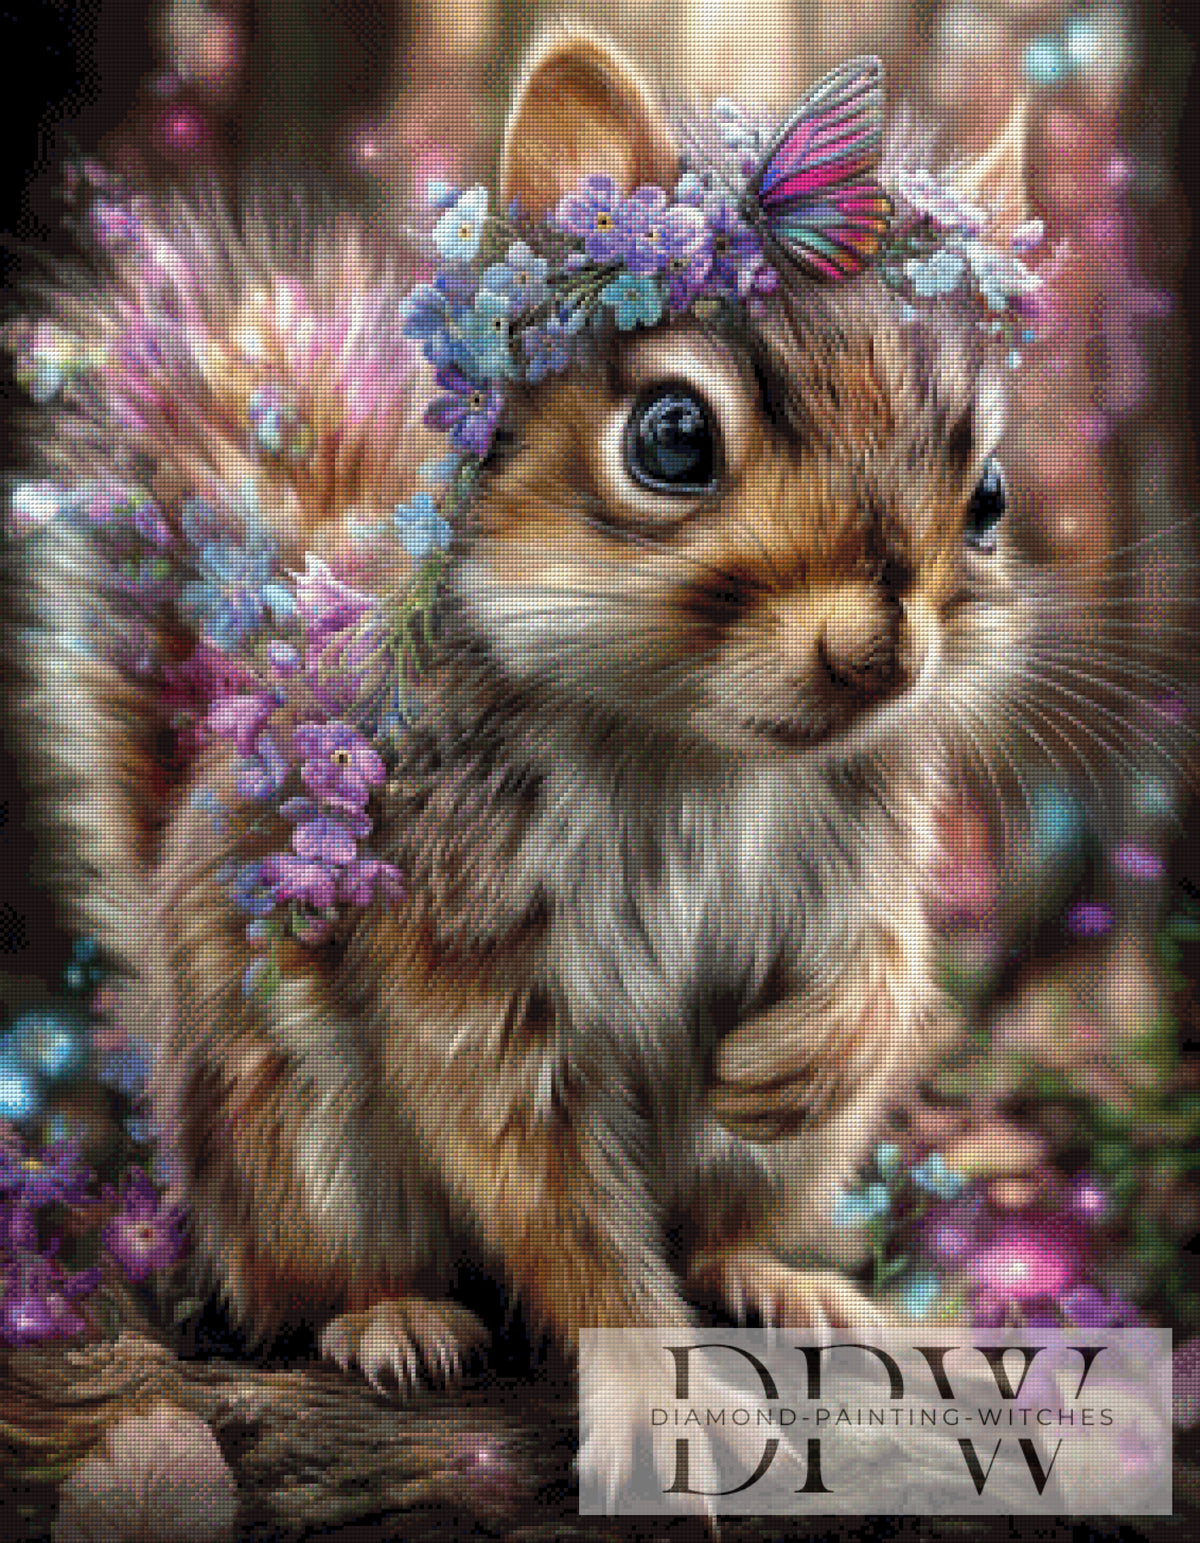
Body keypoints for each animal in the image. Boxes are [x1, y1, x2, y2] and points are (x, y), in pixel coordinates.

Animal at [4, 28, 1038, 1499]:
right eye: (672, 437)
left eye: (990, 494)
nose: (878, 655)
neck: (699, 755)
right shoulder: (462, 939)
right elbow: (545, 1186)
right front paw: (665, 1399)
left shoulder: (867, 850)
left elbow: (888, 966)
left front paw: (801, 1052)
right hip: (298, 1137)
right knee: (302, 1281)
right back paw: (390, 1315)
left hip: (770, 1167)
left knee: (721, 1222)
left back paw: (782, 1279)